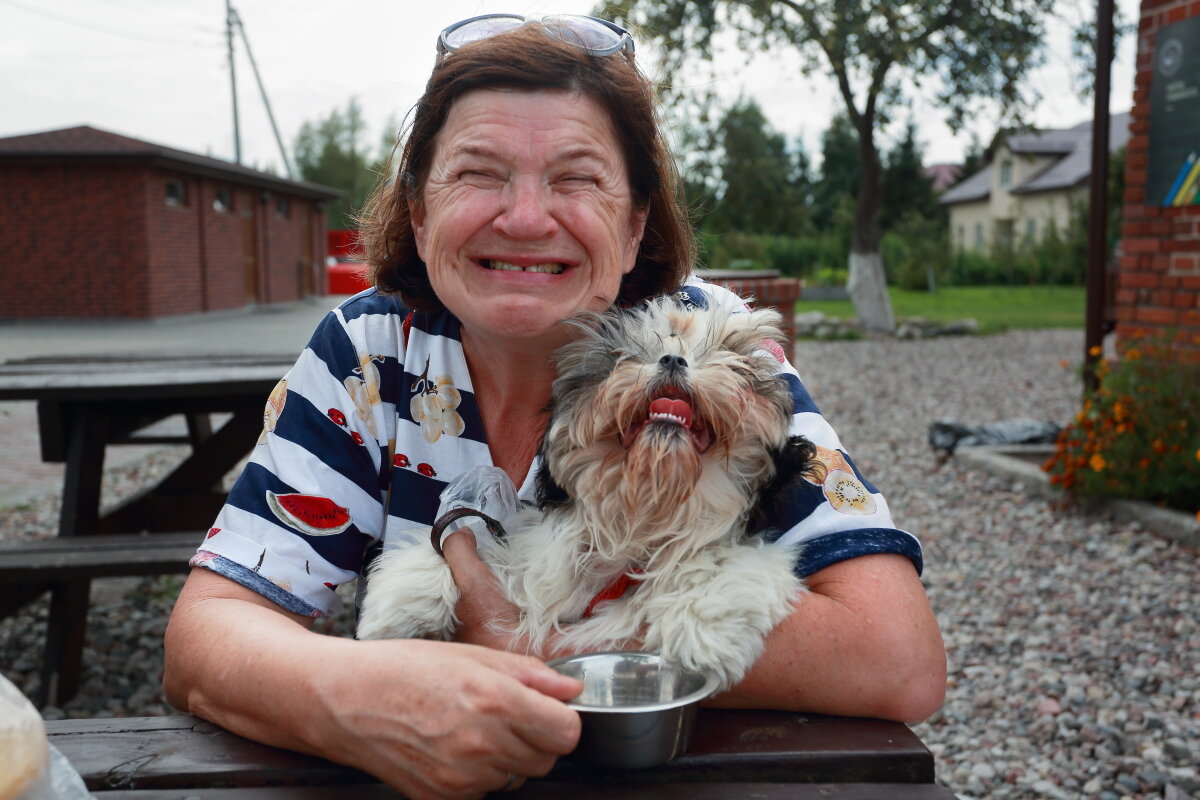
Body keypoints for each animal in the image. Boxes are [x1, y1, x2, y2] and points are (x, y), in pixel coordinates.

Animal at [355, 297, 820, 690]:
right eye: (621, 358)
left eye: (731, 361)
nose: (673, 358)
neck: (643, 509)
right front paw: (399, 604)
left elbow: (724, 565)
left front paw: (702, 633)